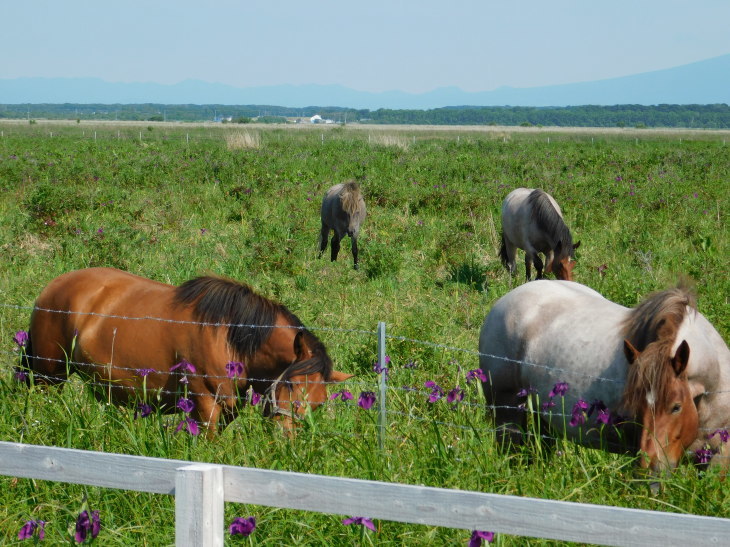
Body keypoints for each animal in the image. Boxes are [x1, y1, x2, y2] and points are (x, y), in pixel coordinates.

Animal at [21, 268, 352, 436]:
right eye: (292, 386)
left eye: (319, 404)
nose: (286, 437)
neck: (229, 336)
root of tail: (51, 288)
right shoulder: (206, 406)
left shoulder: (229, 409)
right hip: (49, 376)